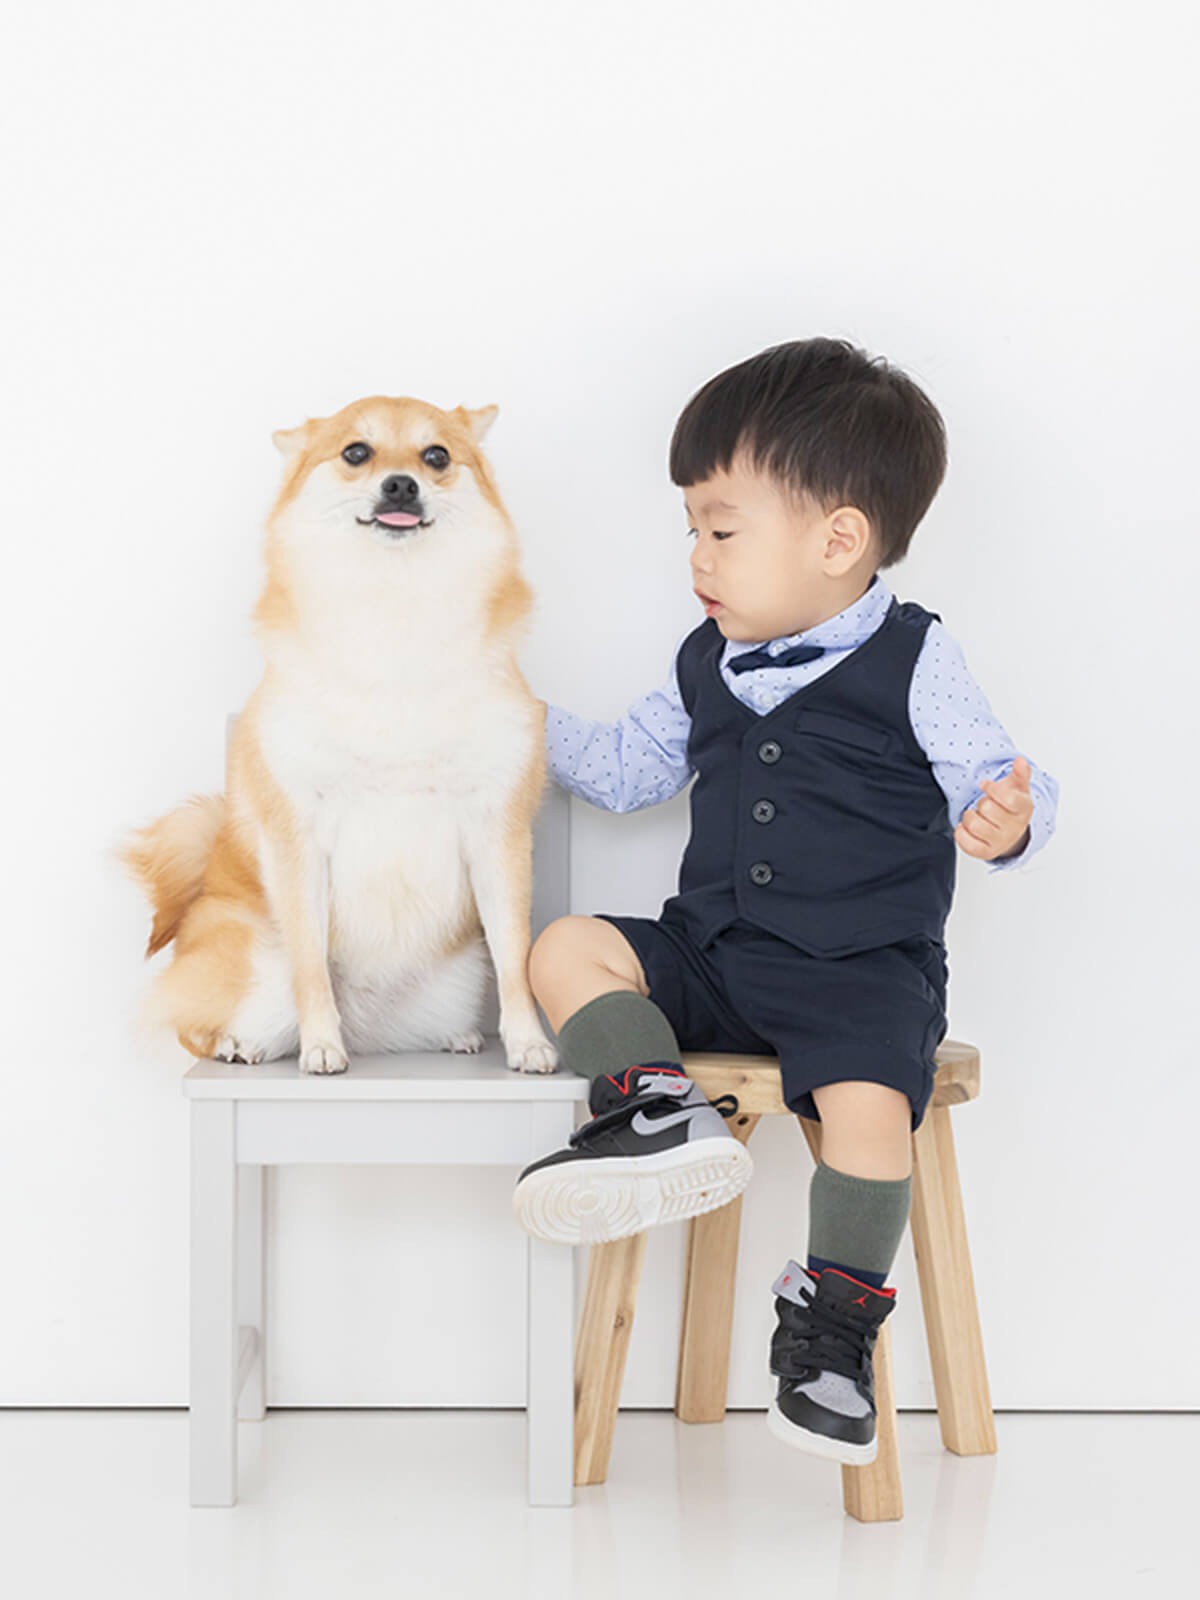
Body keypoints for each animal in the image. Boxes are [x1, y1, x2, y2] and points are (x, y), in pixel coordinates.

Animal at [115, 390, 563, 1075]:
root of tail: (371, 1026)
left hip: (454, 986)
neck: (393, 623)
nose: (400, 483)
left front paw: (528, 1041)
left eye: (437, 456)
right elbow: (310, 964)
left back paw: (457, 1038)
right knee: (197, 1024)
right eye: (357, 452)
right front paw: (322, 1043)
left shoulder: (498, 830)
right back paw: (239, 1044)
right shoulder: (297, 832)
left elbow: (516, 955)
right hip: (254, 971)